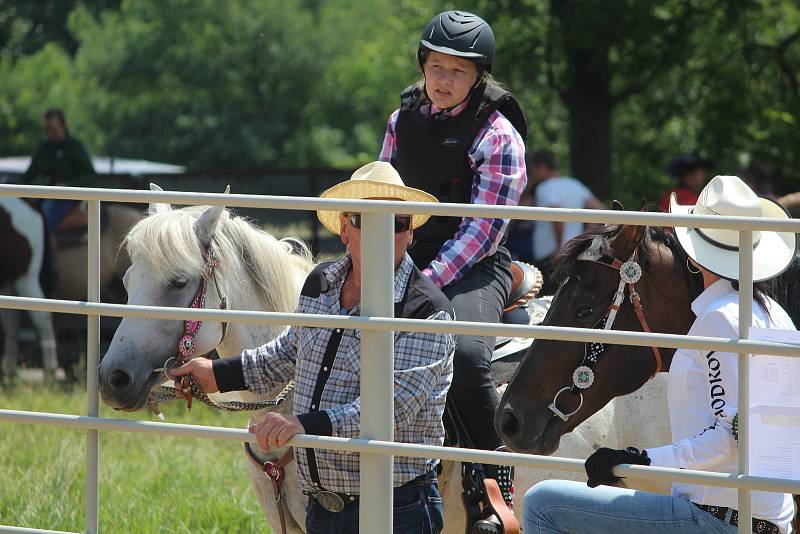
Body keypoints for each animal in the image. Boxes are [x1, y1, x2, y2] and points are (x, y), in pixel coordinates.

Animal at [0, 197, 57, 382]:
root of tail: (31, 204)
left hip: (25, 278)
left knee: (42, 318)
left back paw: (50, 372)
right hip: (8, 282)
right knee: (11, 321)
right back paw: (9, 372)